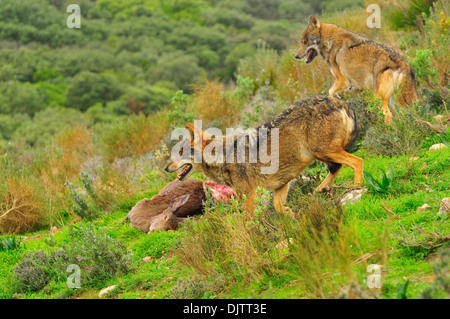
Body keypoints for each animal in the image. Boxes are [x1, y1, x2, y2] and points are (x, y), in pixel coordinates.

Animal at [163, 95, 364, 218]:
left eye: (180, 153)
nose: (166, 167)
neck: (224, 155)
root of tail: (340, 102)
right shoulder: (282, 184)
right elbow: (279, 209)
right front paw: (295, 217)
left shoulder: (249, 196)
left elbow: (247, 223)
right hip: (321, 154)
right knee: (337, 167)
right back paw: (320, 189)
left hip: (322, 151)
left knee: (357, 161)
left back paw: (355, 189)